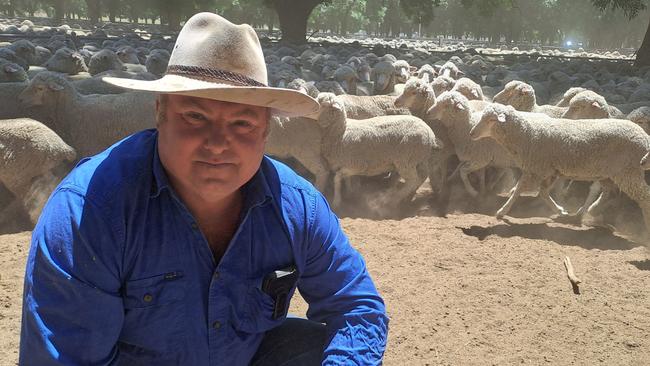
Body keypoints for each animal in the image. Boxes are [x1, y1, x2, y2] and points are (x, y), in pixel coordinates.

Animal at [312, 92, 440, 212]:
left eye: (322, 104)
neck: (341, 132)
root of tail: (430, 133)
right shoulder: (348, 164)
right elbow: (346, 179)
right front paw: (350, 193)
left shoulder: (357, 165)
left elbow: (337, 178)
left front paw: (336, 202)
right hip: (419, 158)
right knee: (422, 176)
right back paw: (407, 197)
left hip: (406, 160)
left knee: (413, 180)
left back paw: (391, 200)